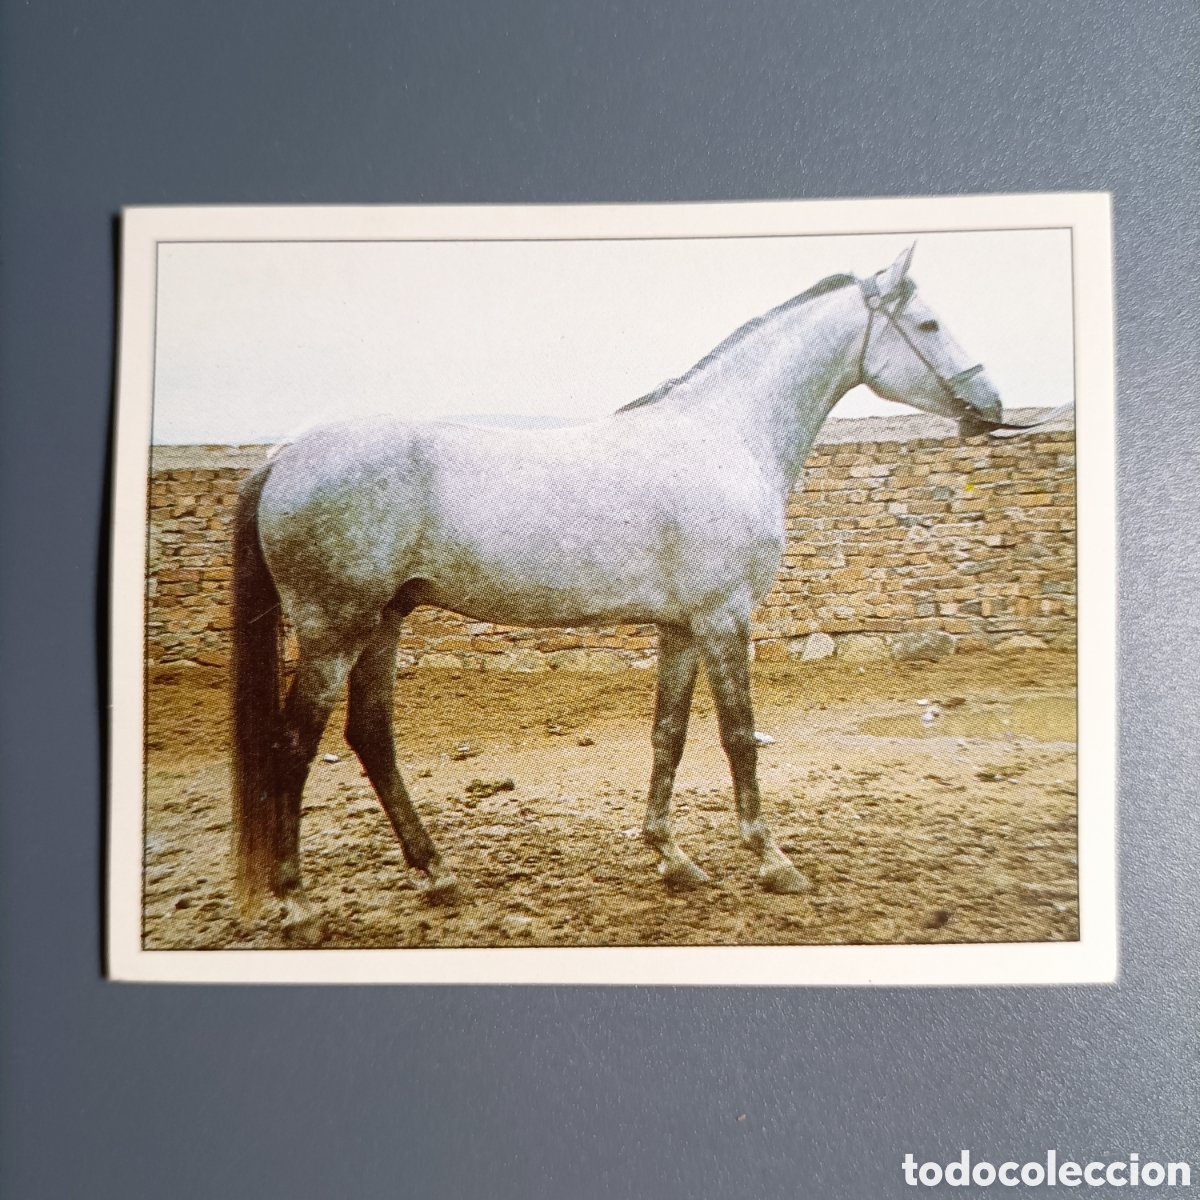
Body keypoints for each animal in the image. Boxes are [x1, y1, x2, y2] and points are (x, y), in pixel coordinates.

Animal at [229, 244, 1003, 943]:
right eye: (928, 324)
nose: (991, 405)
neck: (722, 439)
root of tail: (283, 458)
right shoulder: (725, 620)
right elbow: (739, 737)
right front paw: (772, 860)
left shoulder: (682, 627)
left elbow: (670, 734)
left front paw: (671, 856)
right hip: (335, 629)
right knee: (294, 746)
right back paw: (298, 905)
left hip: (384, 620)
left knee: (372, 736)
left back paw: (437, 872)